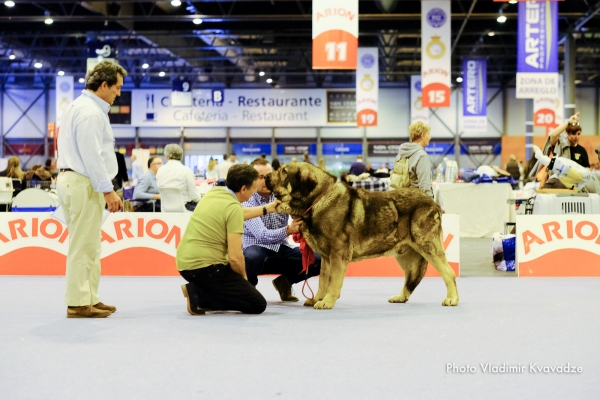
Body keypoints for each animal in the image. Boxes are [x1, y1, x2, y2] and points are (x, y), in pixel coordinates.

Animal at [266, 162, 460, 310]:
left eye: (284, 171)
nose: (266, 176)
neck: (317, 200)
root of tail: (433, 202)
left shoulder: (338, 254)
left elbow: (333, 281)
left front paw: (327, 301)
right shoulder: (327, 258)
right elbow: (323, 280)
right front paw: (317, 298)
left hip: (428, 246)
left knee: (448, 273)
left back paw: (452, 299)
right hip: (406, 254)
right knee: (410, 278)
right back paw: (400, 297)